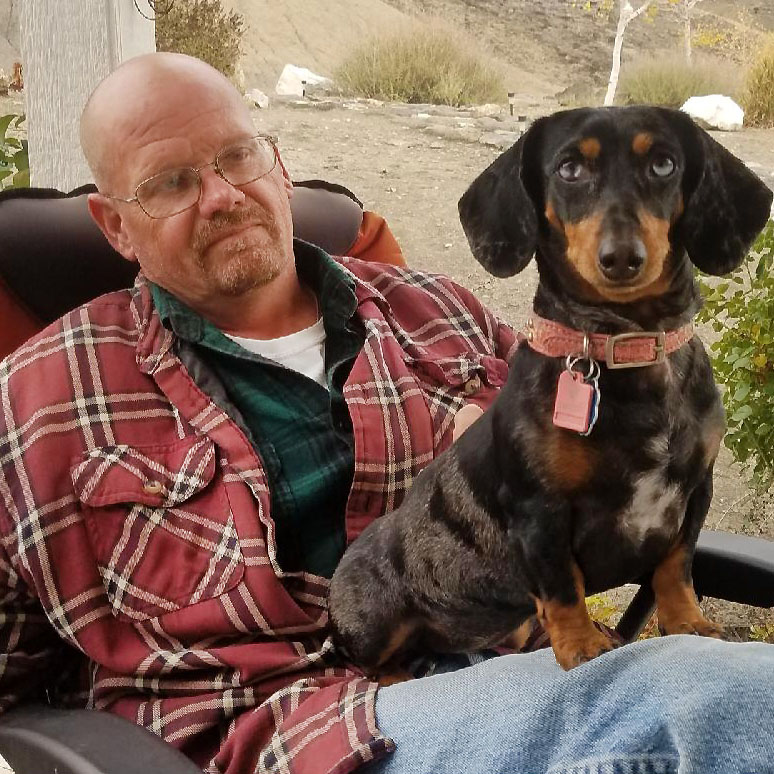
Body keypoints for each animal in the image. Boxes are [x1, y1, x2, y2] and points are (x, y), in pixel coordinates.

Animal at [328, 106, 774, 676]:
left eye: (663, 164)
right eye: (569, 169)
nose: (622, 257)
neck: (626, 346)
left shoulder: (697, 488)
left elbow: (676, 565)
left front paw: (687, 622)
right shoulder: (540, 511)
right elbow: (563, 585)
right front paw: (582, 645)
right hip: (375, 619)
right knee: (377, 665)